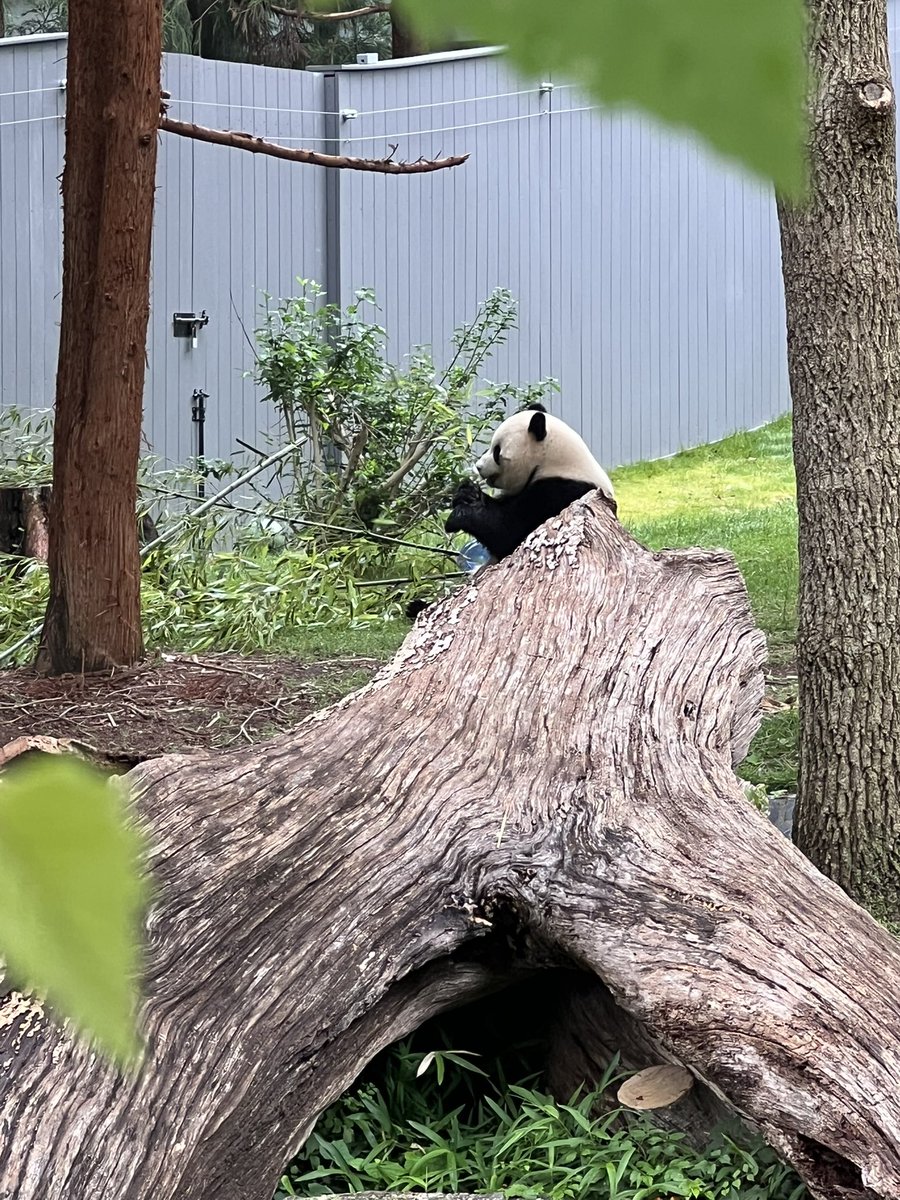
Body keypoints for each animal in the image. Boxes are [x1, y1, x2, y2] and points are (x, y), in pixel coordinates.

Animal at [405, 404, 615, 619]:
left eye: (497, 451)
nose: (479, 467)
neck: (554, 462)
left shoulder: (562, 493)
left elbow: (508, 532)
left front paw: (459, 515)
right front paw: (467, 493)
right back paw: (416, 606)